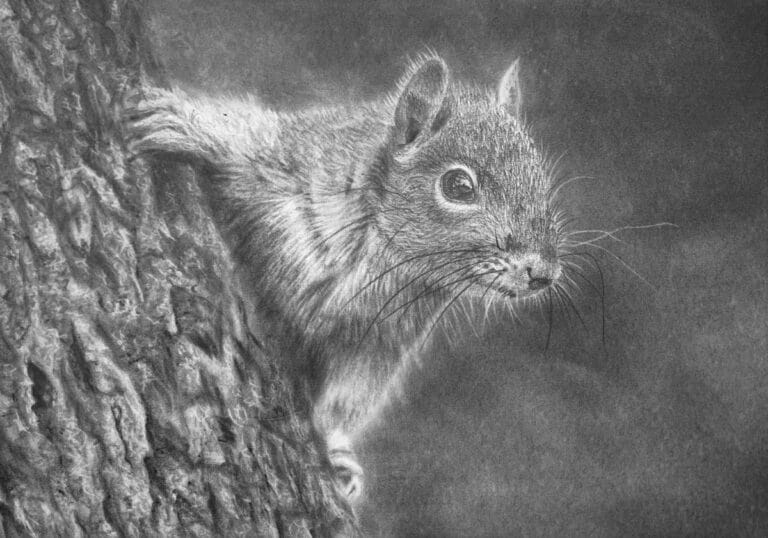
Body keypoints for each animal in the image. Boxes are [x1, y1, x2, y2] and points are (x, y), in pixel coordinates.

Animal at [125, 52, 563, 501]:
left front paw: (338, 452)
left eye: (539, 179)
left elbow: (347, 397)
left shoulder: (377, 338)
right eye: (459, 186)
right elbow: (243, 136)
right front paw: (187, 122)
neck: (379, 254)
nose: (543, 273)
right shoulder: (283, 160)